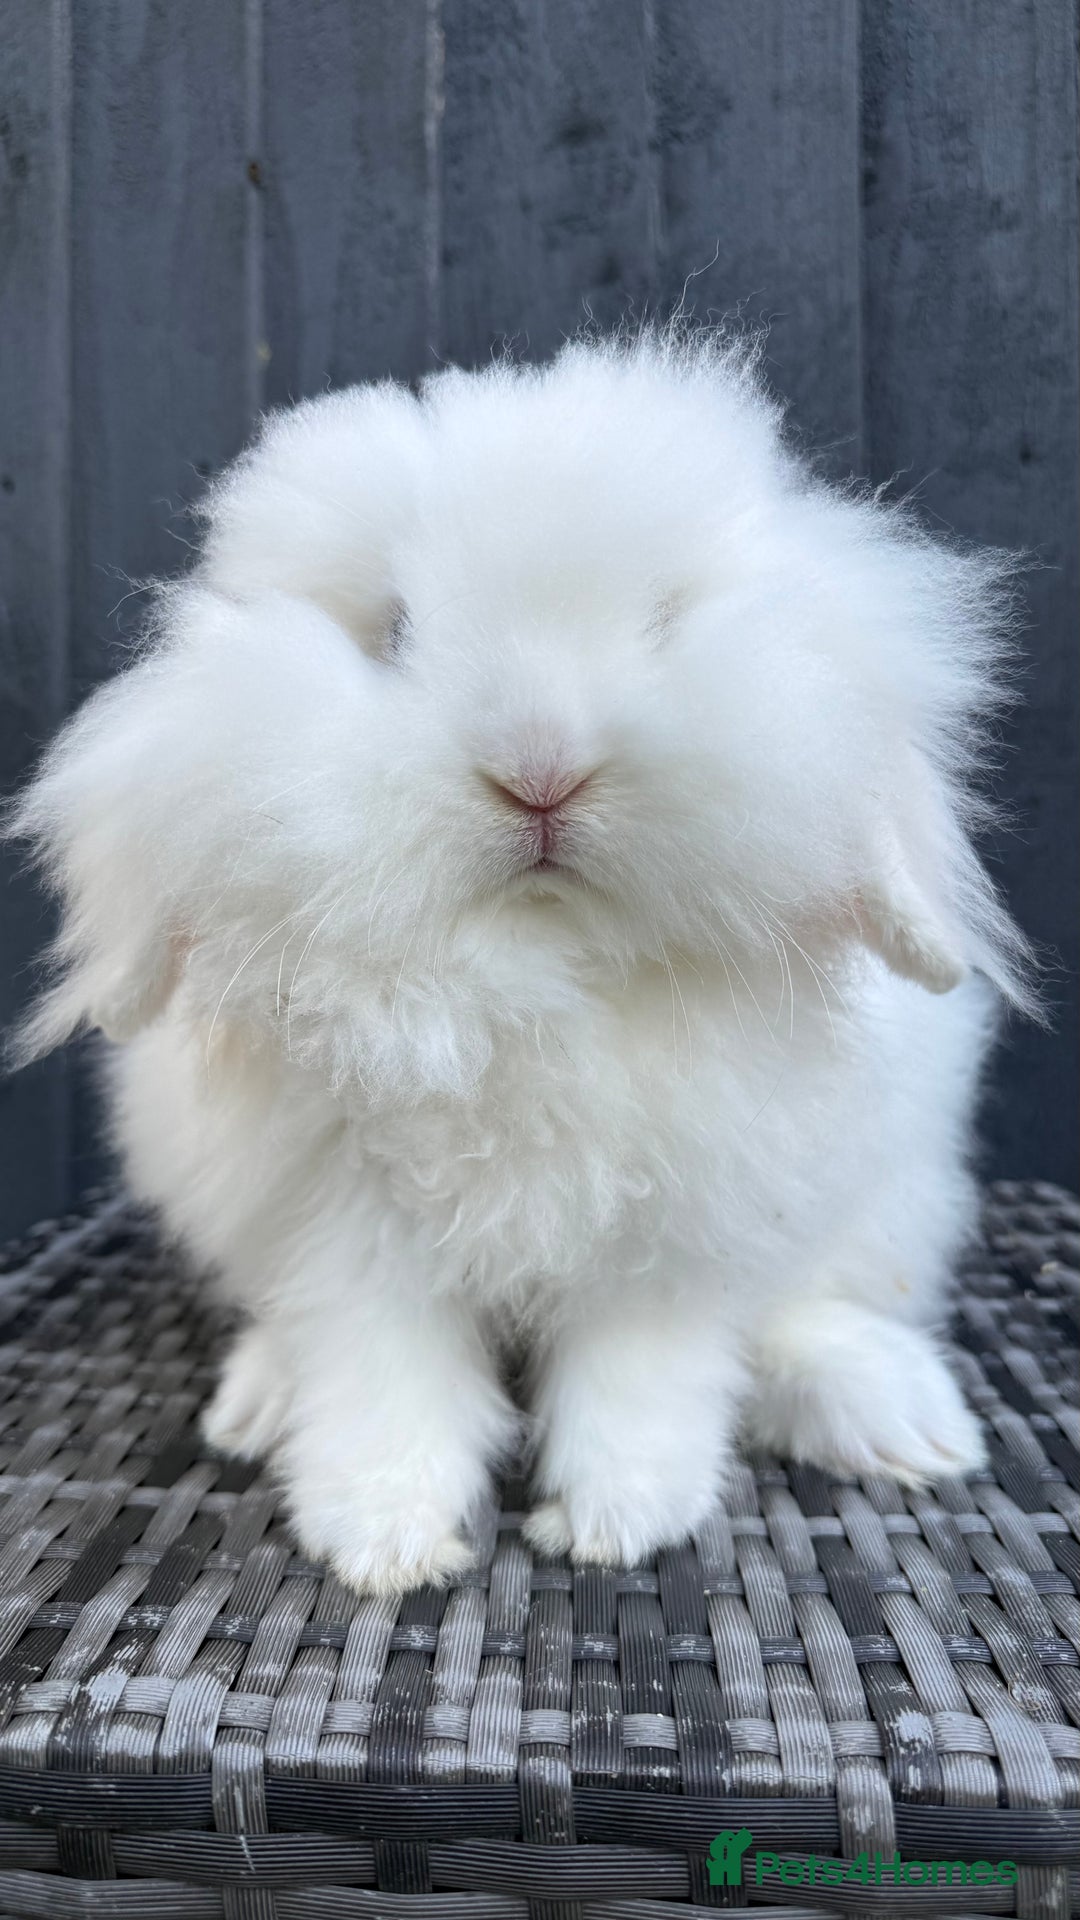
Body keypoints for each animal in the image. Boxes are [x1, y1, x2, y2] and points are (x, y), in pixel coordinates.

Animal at [9, 328, 1035, 1594]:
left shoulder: (672, 1233)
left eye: (663, 620)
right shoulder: (349, 1234)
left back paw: (901, 1424)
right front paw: (383, 1542)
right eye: (393, 631)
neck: (532, 974)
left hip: (887, 1191)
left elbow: (644, 1376)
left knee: (813, 1308)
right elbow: (382, 1377)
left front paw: (618, 1521)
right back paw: (256, 1406)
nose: (540, 769)